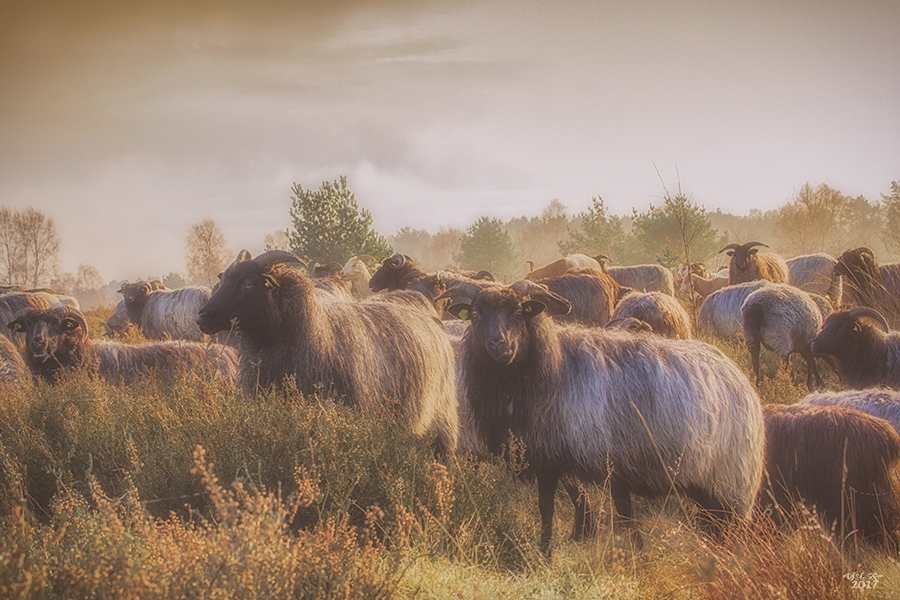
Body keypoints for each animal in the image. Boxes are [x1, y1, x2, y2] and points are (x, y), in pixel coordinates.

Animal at [440, 278, 764, 556]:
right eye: (475, 314)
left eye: (520, 311)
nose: (499, 345)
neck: (550, 366)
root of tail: (740, 379)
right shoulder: (566, 459)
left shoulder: (548, 457)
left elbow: (547, 509)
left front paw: (545, 554)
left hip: (730, 485)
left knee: (731, 530)